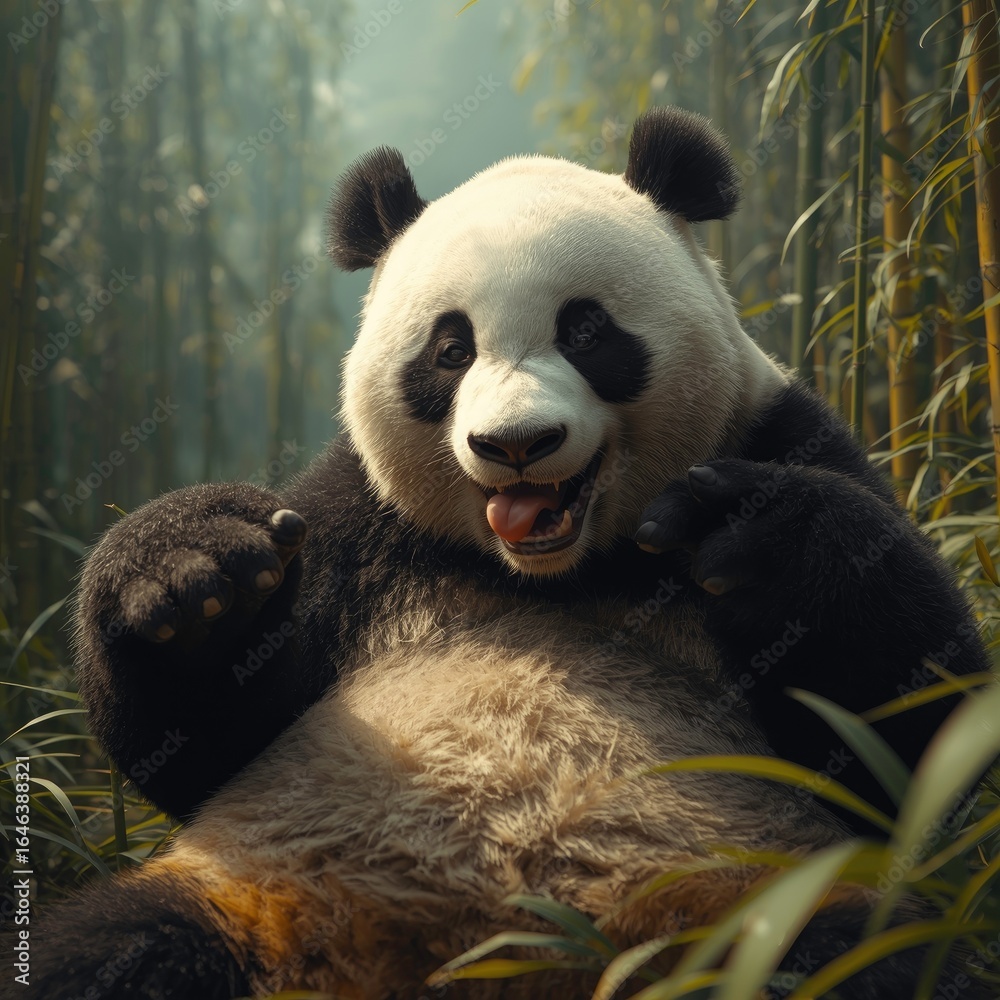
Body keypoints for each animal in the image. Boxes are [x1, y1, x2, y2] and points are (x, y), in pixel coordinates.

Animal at [11, 107, 989, 1000]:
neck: (553, 571)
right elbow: (202, 744)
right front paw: (198, 576)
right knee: (117, 948)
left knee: (874, 960)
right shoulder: (355, 527)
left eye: (586, 331)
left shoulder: (780, 429)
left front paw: (747, 532)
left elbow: (911, 736)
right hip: (259, 887)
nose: (516, 444)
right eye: (450, 349)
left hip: (752, 896)